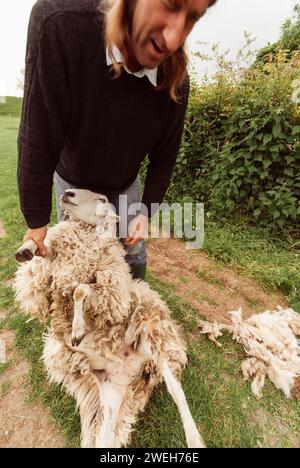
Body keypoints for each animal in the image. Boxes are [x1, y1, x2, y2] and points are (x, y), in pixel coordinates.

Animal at [13, 189, 204, 450]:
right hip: (110, 392)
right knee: (105, 438)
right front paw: (27, 248)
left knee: (178, 394)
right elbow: (44, 250)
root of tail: (130, 372)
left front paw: (78, 330)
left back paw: (195, 439)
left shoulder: (111, 294)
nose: (67, 193)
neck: (85, 233)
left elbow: (80, 289)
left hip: (157, 345)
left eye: (102, 199)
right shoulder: (57, 263)